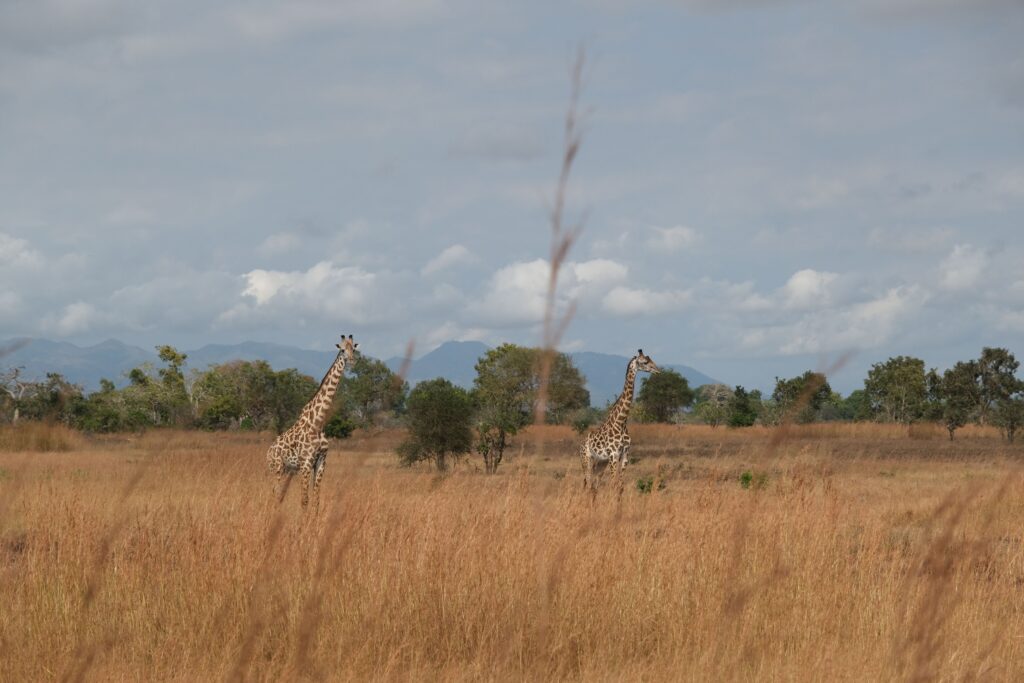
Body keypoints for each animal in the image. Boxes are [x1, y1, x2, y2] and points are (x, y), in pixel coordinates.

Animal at [266, 334, 358, 509]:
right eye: (342, 349)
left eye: (354, 349)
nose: (352, 361)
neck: (318, 422)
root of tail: (268, 451)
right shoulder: (306, 462)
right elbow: (304, 500)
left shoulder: (321, 461)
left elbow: (316, 499)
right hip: (276, 467)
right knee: (274, 493)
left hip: (288, 469)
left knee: (279, 495)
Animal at [578, 349, 660, 495]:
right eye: (645, 362)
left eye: (651, 359)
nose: (657, 370)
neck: (621, 423)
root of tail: (580, 444)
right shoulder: (613, 455)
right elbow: (613, 485)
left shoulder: (625, 455)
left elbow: (620, 487)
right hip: (586, 459)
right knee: (588, 483)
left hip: (600, 462)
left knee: (593, 486)